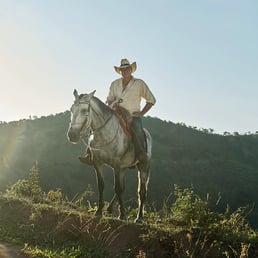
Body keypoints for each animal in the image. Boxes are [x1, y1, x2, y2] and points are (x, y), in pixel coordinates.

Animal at [67, 90, 151, 222]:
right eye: (71, 109)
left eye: (84, 110)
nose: (72, 135)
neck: (104, 133)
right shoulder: (97, 163)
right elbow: (102, 186)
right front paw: (99, 211)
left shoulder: (116, 163)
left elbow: (117, 188)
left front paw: (122, 215)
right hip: (123, 168)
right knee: (123, 187)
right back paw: (110, 209)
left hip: (143, 167)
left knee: (141, 191)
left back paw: (139, 217)